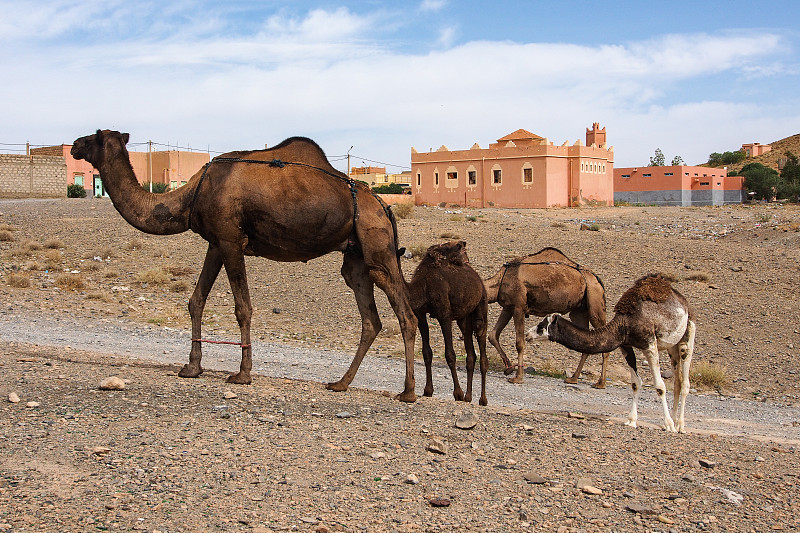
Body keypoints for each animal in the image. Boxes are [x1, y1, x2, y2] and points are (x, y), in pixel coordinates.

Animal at [70, 130, 418, 400]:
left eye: (93, 136)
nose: (73, 145)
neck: (192, 195)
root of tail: (384, 204)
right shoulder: (215, 242)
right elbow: (196, 300)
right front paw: (191, 367)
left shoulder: (230, 240)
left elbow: (242, 308)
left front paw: (242, 374)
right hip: (355, 258)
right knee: (371, 319)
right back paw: (341, 383)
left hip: (377, 245)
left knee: (405, 312)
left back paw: (408, 392)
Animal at [410, 239, 490, 406]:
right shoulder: (420, 314)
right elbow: (427, 352)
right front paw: (428, 390)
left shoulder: (444, 315)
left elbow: (450, 355)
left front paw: (457, 393)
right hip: (464, 317)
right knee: (470, 353)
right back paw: (468, 397)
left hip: (481, 305)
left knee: (481, 340)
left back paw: (482, 399)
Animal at [482, 245, 608, 386]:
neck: (500, 281)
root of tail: (597, 280)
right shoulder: (508, 307)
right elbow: (493, 335)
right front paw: (509, 368)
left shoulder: (519, 307)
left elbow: (519, 343)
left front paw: (518, 377)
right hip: (579, 311)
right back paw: (573, 378)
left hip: (595, 301)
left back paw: (600, 383)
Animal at [524, 274, 692, 432]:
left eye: (541, 326)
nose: (527, 335)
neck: (624, 323)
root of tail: (683, 300)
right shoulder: (625, 345)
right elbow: (635, 383)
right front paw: (631, 421)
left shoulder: (649, 344)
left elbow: (659, 386)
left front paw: (668, 425)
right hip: (672, 347)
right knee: (677, 381)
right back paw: (676, 421)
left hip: (688, 333)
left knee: (684, 381)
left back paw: (680, 425)